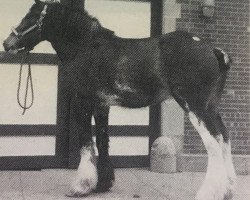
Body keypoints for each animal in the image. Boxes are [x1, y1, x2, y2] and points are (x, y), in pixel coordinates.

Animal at [2, 0, 235, 199]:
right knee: (224, 137)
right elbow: (102, 141)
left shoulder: (82, 103)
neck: (86, 47)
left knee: (214, 142)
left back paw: (209, 193)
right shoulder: (101, 105)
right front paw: (102, 184)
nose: (6, 43)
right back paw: (228, 190)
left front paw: (80, 187)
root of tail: (213, 50)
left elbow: (86, 143)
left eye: (31, 16)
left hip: (196, 107)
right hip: (211, 107)